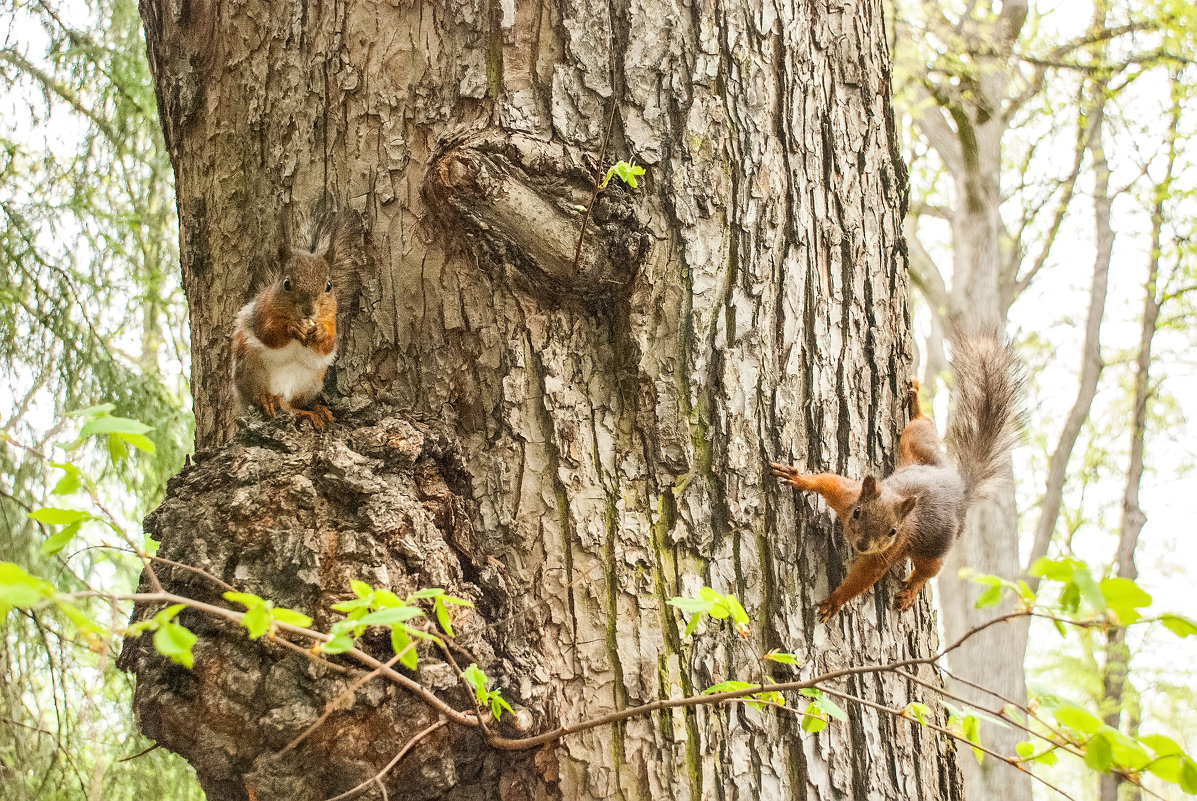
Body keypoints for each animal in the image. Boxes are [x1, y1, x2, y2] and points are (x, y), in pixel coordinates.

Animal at [231, 209, 356, 428]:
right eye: (286, 283)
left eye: (329, 285)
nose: (309, 310)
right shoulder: (262, 312)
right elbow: (270, 334)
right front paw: (293, 327)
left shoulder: (331, 320)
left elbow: (329, 345)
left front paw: (320, 333)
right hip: (250, 369)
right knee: (260, 396)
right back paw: (267, 399)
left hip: (310, 381)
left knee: (292, 406)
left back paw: (314, 411)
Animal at [770, 328, 1024, 622]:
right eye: (857, 513)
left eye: (893, 531)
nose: (862, 544)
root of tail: (960, 487)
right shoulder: (848, 494)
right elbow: (826, 481)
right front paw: (798, 477)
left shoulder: (890, 550)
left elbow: (864, 576)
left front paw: (835, 600)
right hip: (918, 445)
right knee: (922, 425)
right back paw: (916, 402)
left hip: (936, 544)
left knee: (929, 569)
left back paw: (911, 590)